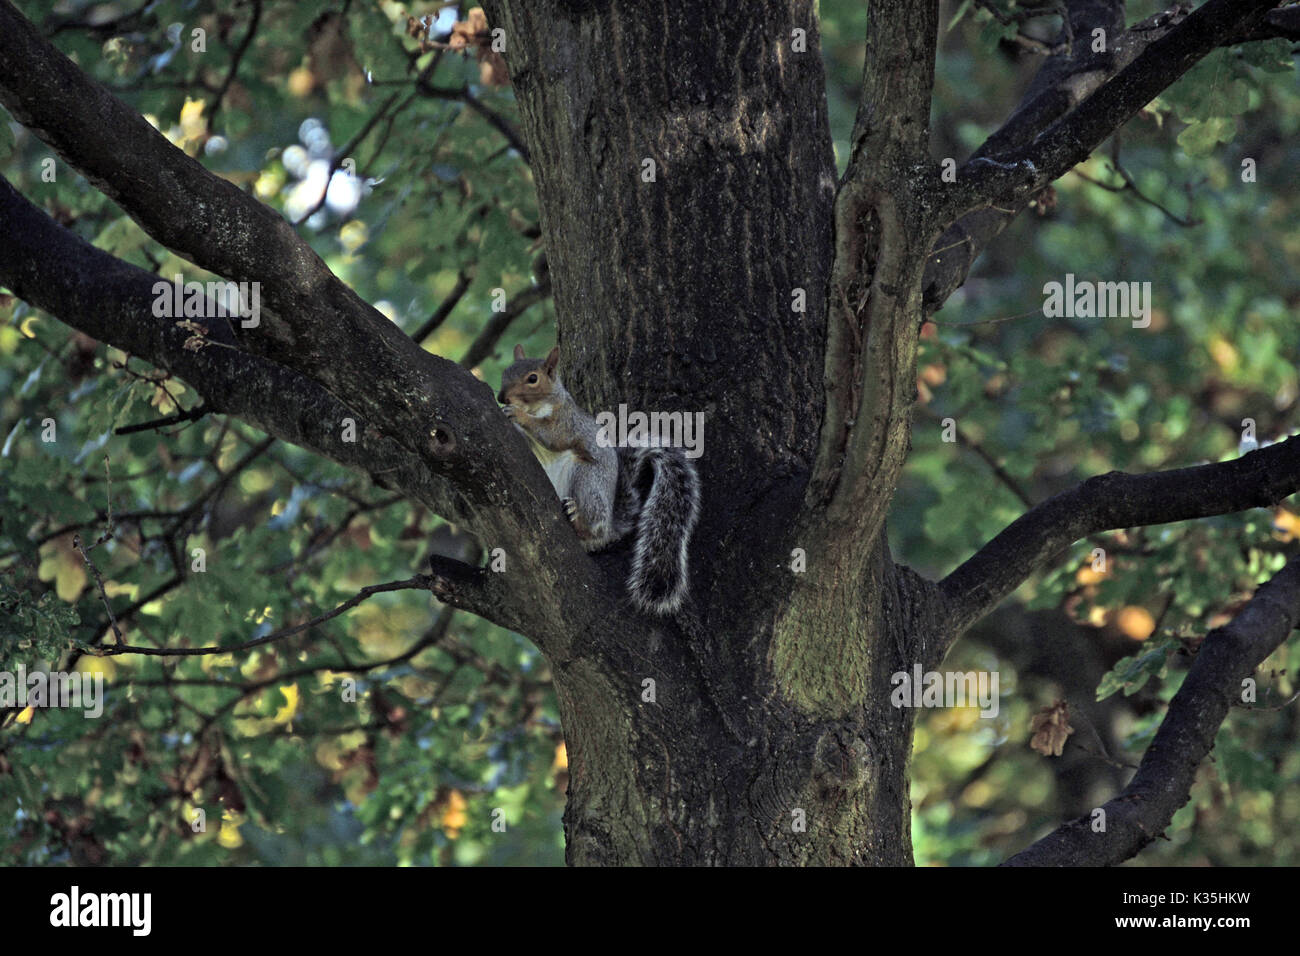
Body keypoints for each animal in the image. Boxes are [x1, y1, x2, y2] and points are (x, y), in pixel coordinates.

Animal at [497, 344, 701, 615]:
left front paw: (518, 415)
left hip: (585, 478)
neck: (542, 404)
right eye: (505, 372)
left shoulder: (566, 422)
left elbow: (552, 436)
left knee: (592, 525)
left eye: (532, 379)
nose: (502, 397)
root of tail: (610, 526)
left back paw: (577, 516)